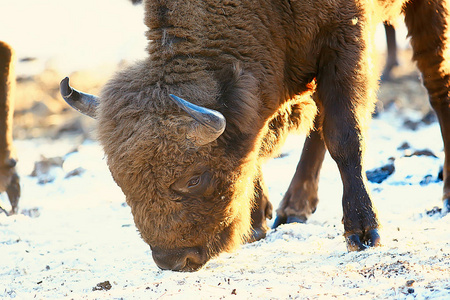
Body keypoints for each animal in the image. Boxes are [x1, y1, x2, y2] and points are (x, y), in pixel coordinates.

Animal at [60, 0, 450, 272]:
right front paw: (256, 223)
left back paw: (445, 193)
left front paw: (364, 234)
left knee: (436, 84)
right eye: (121, 182)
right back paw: (293, 207)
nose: (173, 260)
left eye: (194, 179)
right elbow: (255, 141)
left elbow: (345, 136)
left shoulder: (344, 40)